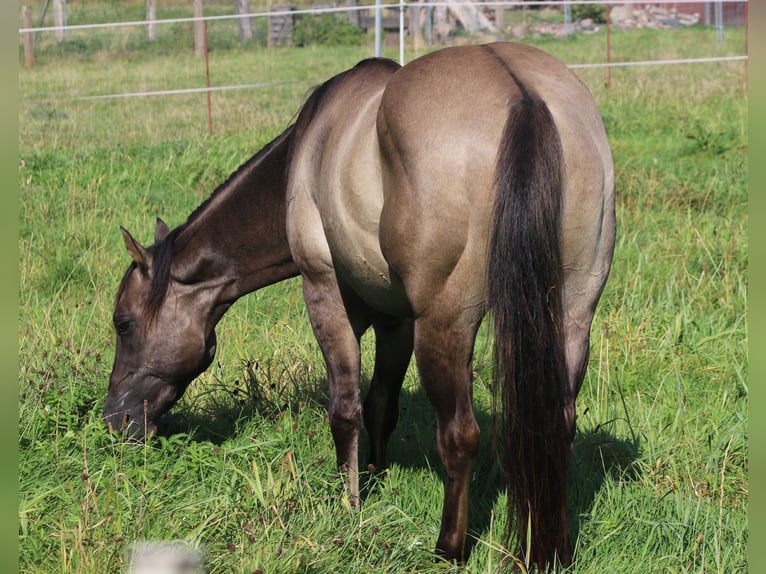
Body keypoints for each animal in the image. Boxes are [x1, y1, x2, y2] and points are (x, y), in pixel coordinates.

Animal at [103, 42, 616, 568]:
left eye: (122, 323)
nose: (115, 420)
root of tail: (522, 96)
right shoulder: (397, 322)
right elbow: (380, 405)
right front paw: (374, 473)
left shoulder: (324, 292)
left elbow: (345, 408)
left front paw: (349, 504)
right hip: (569, 320)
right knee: (556, 427)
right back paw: (551, 550)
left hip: (447, 326)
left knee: (459, 435)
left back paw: (448, 549)